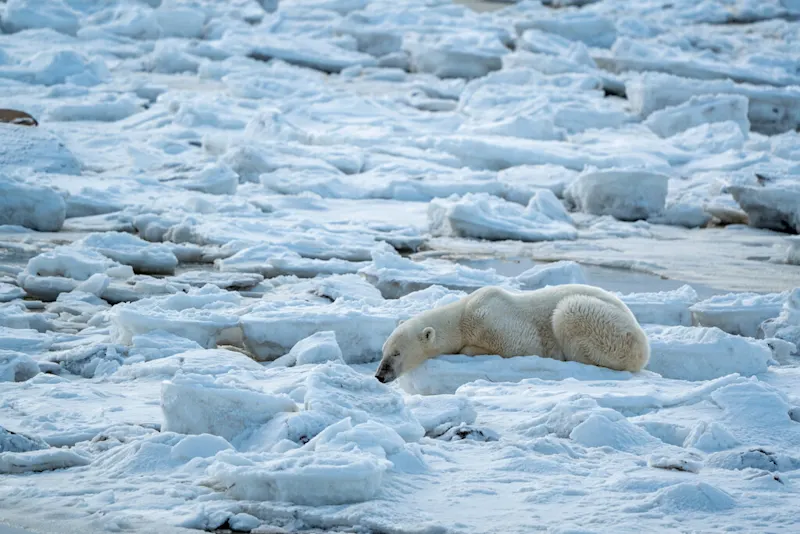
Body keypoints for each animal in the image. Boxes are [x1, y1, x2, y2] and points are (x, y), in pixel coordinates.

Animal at [375, 284, 649, 383]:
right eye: (383, 351)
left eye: (397, 353)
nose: (379, 375)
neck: (463, 315)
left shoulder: (497, 320)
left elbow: (520, 345)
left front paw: (469, 348)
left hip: (606, 326)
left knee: (569, 311)